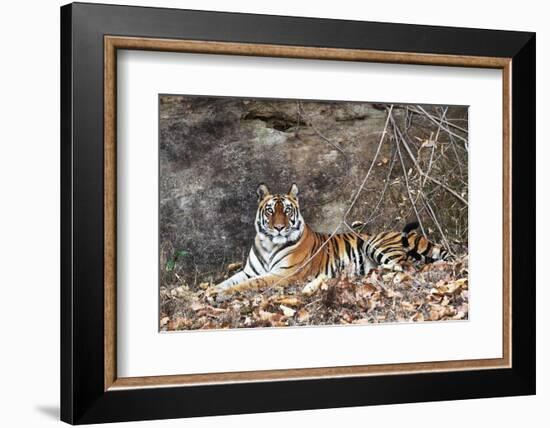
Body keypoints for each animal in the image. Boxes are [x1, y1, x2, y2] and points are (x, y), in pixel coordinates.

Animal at [213, 182, 450, 296]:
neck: (269, 244)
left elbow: (251, 284)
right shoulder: (248, 271)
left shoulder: (283, 274)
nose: (279, 228)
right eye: (270, 210)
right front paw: (213, 290)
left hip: (376, 246)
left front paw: (223, 294)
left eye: (287, 210)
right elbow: (229, 280)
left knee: (406, 267)